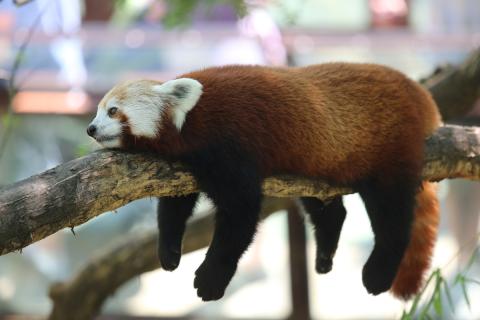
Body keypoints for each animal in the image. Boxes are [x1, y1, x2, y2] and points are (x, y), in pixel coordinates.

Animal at [87, 63, 442, 302]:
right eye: (98, 111)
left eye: (113, 110)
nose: (90, 129)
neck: (192, 119)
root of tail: (418, 91)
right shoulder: (181, 167)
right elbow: (175, 207)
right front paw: (169, 251)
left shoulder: (231, 146)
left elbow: (240, 216)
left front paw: (212, 277)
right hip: (316, 166)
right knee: (328, 209)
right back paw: (325, 254)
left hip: (389, 150)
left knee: (393, 215)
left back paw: (378, 272)